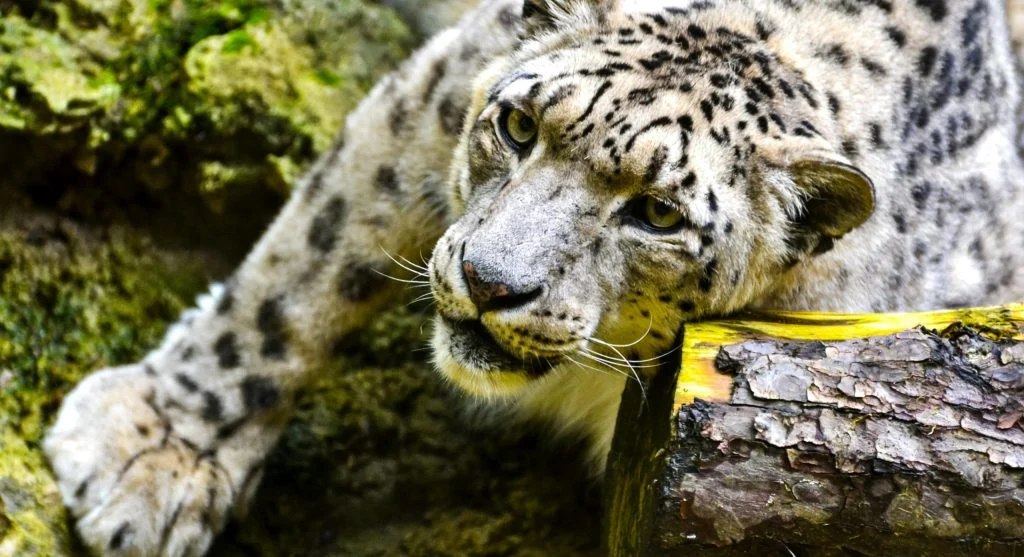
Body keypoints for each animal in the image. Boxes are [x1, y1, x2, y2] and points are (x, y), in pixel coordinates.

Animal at [43, 0, 1024, 555]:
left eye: (657, 214)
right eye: (516, 126)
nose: (487, 280)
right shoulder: (433, 95)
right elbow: (304, 268)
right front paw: (159, 449)